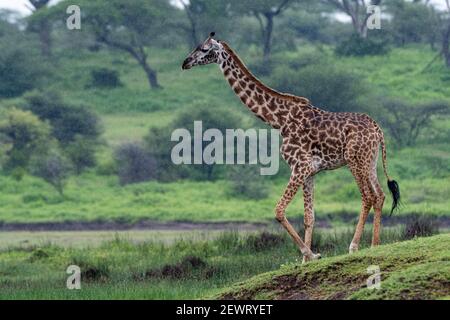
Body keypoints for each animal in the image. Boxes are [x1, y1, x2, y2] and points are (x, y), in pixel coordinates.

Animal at [181, 32, 400, 262]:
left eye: (204, 49)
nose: (185, 62)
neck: (279, 120)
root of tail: (378, 130)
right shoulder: (310, 171)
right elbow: (309, 217)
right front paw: (306, 260)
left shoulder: (299, 166)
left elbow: (278, 210)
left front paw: (310, 254)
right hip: (370, 161)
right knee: (380, 195)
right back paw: (375, 244)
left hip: (354, 160)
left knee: (367, 197)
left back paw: (354, 246)